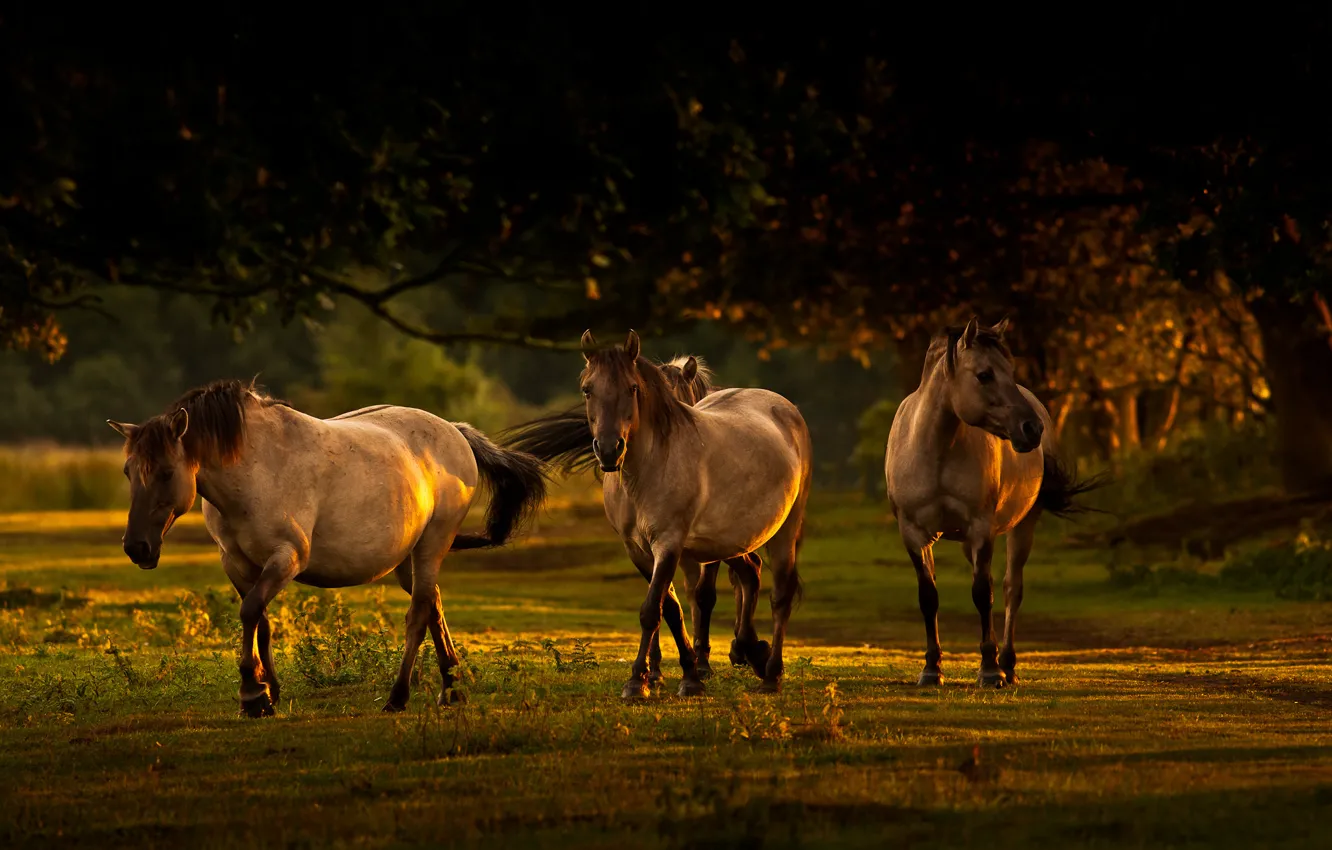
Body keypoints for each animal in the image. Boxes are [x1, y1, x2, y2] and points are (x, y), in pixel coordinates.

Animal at [106, 378, 548, 719]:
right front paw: (270, 693)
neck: (256, 468)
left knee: (418, 615)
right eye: (127, 471)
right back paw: (451, 690)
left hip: (432, 545)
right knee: (433, 604)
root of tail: (455, 432)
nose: (137, 547)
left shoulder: (287, 558)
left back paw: (398, 697)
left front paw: (252, 696)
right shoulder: (237, 564)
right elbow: (260, 620)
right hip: (408, 559)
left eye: (166, 473)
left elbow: (250, 612)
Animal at [503, 333, 809, 698]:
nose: (609, 450)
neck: (646, 472)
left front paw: (639, 681)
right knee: (750, 575)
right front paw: (685, 676)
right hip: (731, 540)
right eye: (587, 389)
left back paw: (771, 674)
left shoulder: (670, 543)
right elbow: (670, 608)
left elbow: (654, 609)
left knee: (780, 595)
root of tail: (784, 407)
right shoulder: (638, 549)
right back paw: (752, 653)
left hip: (784, 530)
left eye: (632, 388)